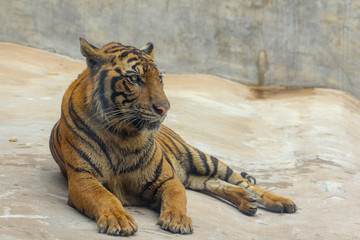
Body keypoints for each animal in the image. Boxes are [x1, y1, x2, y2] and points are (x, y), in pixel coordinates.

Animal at [49, 38, 296, 236]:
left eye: (160, 78)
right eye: (134, 79)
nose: (164, 108)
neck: (121, 133)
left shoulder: (167, 178)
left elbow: (176, 199)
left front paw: (178, 220)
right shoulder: (83, 177)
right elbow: (104, 196)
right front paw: (118, 219)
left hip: (201, 159)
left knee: (244, 183)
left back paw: (282, 202)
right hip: (192, 176)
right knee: (215, 183)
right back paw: (247, 202)